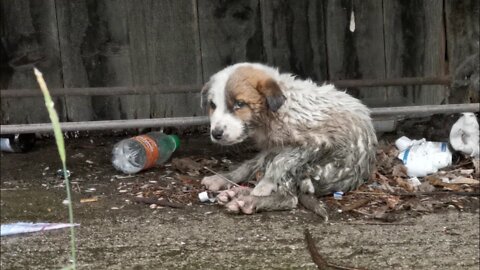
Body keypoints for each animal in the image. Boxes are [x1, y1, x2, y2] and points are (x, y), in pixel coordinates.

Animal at [201, 63, 376, 215]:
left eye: (240, 104)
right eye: (212, 105)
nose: (216, 133)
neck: (275, 112)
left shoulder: (316, 142)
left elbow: (281, 161)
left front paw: (265, 185)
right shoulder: (272, 147)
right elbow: (249, 165)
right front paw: (225, 178)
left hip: (313, 169)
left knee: (289, 197)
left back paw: (248, 201)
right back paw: (231, 188)